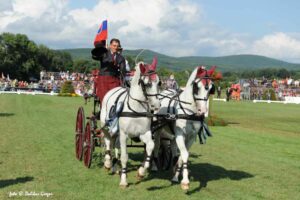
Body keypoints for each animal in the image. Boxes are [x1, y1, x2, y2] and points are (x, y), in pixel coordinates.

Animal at [99, 57, 161, 188]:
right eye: (147, 83)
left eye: (159, 82)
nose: (156, 105)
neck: (135, 109)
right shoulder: (124, 135)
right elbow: (124, 157)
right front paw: (123, 180)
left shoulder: (144, 133)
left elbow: (150, 146)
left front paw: (141, 172)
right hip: (105, 126)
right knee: (108, 142)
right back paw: (108, 163)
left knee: (114, 144)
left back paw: (114, 166)